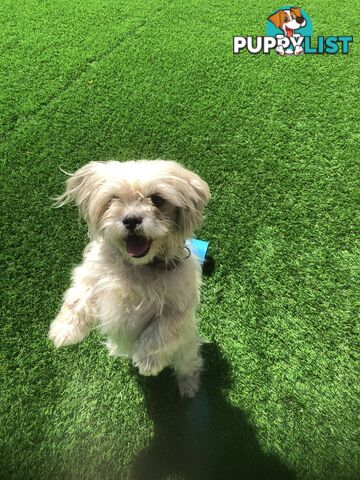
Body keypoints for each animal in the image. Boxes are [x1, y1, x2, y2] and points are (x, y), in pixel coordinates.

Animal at [48, 161, 211, 398]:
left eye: (157, 199)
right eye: (113, 198)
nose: (131, 220)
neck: (138, 267)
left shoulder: (180, 304)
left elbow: (161, 330)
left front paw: (147, 360)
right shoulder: (89, 274)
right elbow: (77, 298)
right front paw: (64, 331)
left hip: (185, 351)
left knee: (190, 365)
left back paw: (189, 385)